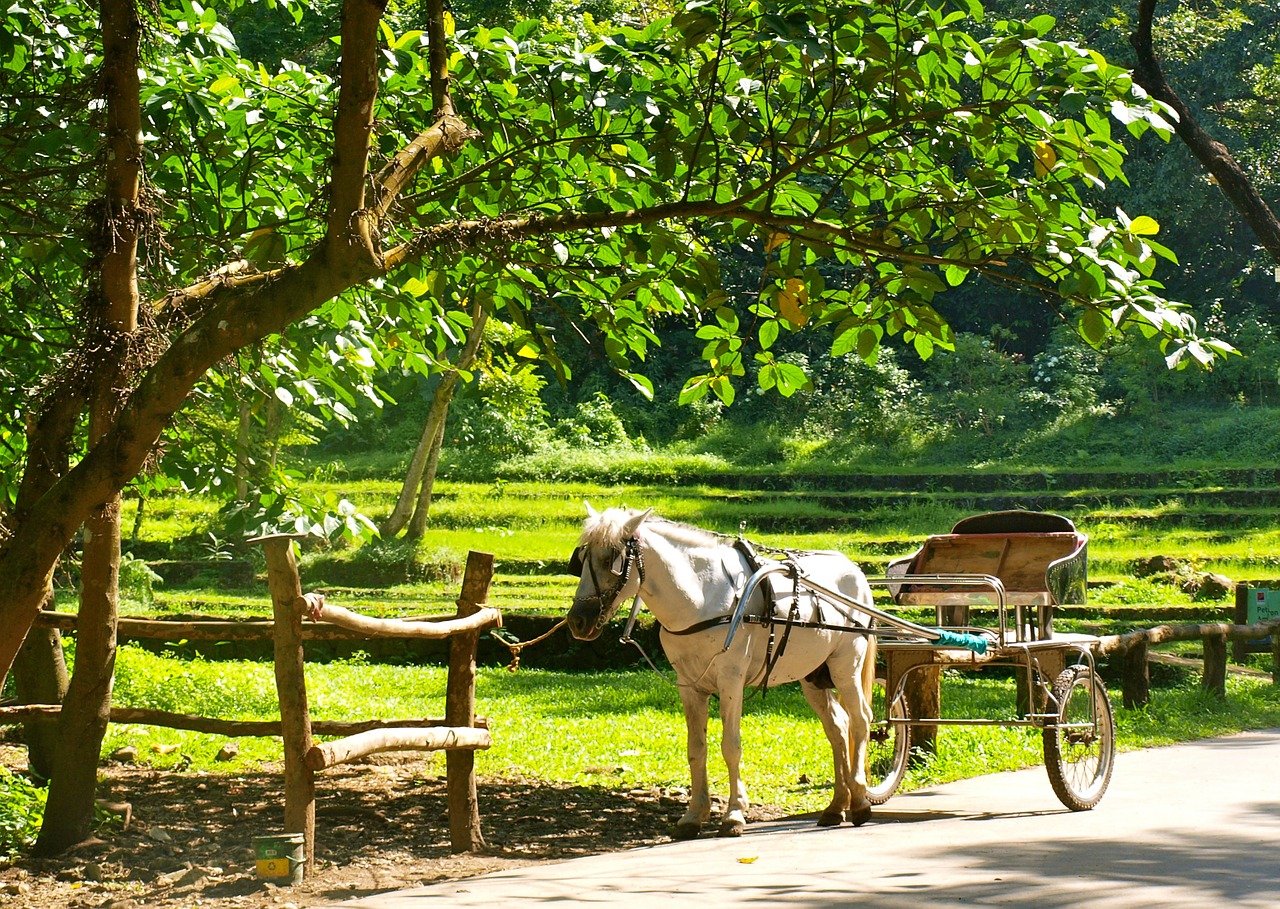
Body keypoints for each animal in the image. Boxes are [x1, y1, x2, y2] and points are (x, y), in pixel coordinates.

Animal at [565, 504, 875, 839]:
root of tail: (854, 569)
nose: (577, 621)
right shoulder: (689, 686)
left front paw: (734, 813)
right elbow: (696, 748)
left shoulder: (731, 679)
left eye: (611, 559)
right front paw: (693, 815)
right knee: (838, 727)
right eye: (581, 559)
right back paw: (837, 805)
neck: (702, 597)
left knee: (860, 719)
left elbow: (731, 745)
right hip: (813, 676)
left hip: (846, 666)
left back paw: (859, 800)